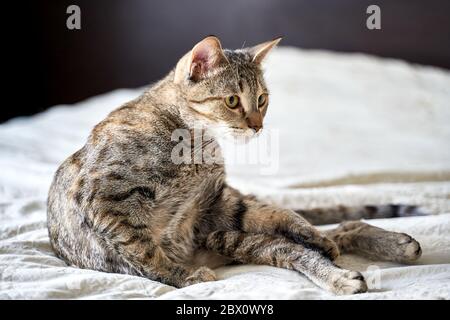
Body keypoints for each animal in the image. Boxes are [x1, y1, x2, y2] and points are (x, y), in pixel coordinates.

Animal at [46, 35, 422, 296]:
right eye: (231, 100)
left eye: (262, 100)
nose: (257, 125)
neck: (194, 144)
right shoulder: (105, 200)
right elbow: (144, 251)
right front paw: (181, 276)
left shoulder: (215, 200)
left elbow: (280, 214)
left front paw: (309, 231)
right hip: (231, 240)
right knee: (300, 249)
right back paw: (346, 275)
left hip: (228, 233)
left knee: (333, 230)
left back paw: (380, 246)